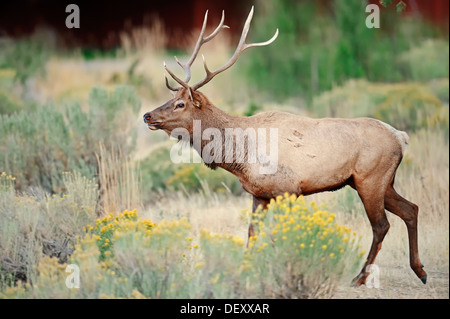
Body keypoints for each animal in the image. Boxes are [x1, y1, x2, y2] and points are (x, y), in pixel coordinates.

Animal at [142, 6, 428, 288]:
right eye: (170, 99)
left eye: (180, 104)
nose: (146, 115)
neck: (240, 157)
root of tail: (401, 136)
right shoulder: (259, 194)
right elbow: (252, 233)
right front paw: (246, 271)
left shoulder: (288, 189)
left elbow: (279, 234)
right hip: (379, 182)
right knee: (411, 209)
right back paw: (420, 270)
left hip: (371, 179)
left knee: (381, 225)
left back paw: (360, 277)